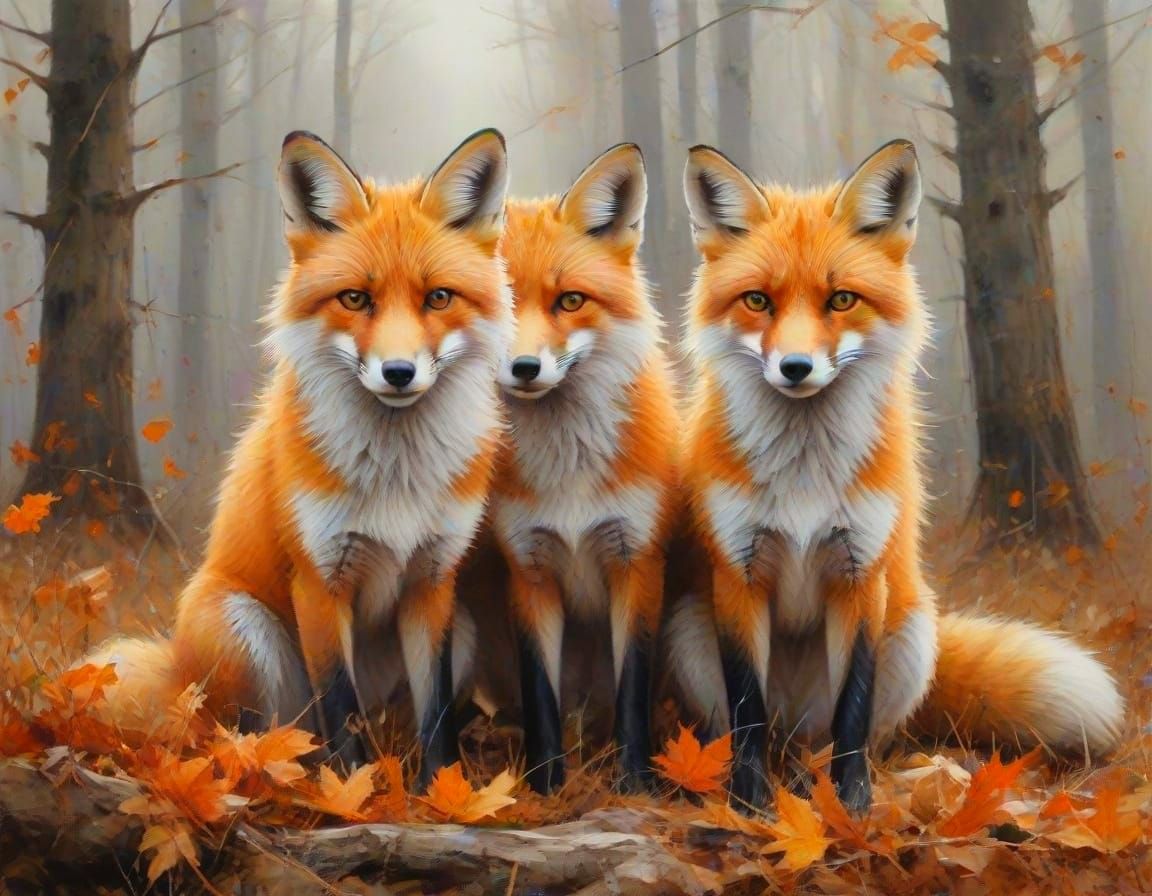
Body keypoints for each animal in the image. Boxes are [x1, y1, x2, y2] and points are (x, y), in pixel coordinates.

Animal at [87, 128, 513, 786]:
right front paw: (350, 791)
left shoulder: (433, 580)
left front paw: (440, 791)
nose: (398, 372)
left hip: (461, 627)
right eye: (355, 299)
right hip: (243, 628)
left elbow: (436, 714)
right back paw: (282, 771)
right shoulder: (319, 579)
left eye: (438, 298)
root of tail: (177, 671)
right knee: (254, 736)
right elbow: (341, 706)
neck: (396, 475)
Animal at [490, 144, 680, 792]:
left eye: (569, 300)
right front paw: (546, 783)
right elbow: (539, 696)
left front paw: (637, 782)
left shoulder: (637, 562)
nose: (524, 367)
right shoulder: (528, 570)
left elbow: (632, 694)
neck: (567, 470)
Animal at [668, 139, 1125, 812]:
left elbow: (854, 711)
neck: (805, 475)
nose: (796, 367)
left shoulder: (863, 574)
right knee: (758, 731)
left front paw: (852, 806)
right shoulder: (739, 576)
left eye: (841, 300)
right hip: (689, 633)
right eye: (757, 301)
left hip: (911, 634)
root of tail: (796, 728)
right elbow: (747, 711)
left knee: (850, 735)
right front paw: (749, 804)